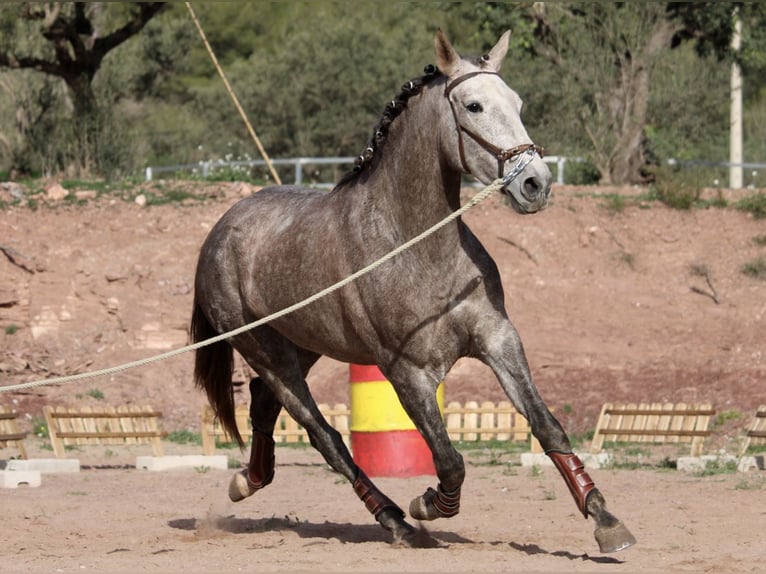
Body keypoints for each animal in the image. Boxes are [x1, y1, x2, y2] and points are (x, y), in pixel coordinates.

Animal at [190, 29, 636, 556]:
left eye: (518, 102)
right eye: (473, 106)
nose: (535, 184)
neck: (416, 243)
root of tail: (219, 234)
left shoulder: (498, 339)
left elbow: (546, 425)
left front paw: (605, 519)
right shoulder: (407, 372)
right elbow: (449, 460)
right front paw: (427, 505)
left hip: (302, 347)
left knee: (262, 403)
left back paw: (248, 480)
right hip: (266, 353)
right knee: (325, 437)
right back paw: (393, 520)